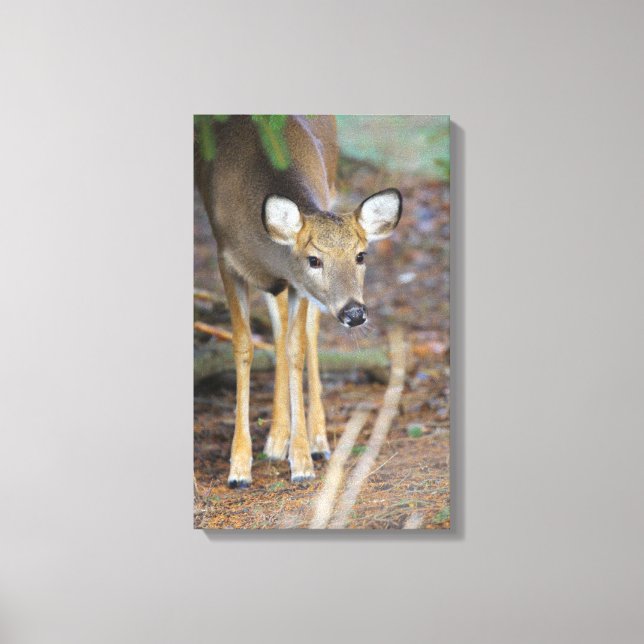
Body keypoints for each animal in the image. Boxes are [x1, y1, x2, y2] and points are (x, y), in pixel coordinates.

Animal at [194, 115, 402, 487]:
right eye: (314, 260)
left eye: (361, 255)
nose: (355, 312)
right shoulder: (226, 260)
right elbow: (243, 346)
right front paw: (239, 468)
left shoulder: (297, 284)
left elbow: (297, 348)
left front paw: (303, 461)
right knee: (276, 330)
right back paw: (275, 441)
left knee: (306, 332)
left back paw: (316, 441)